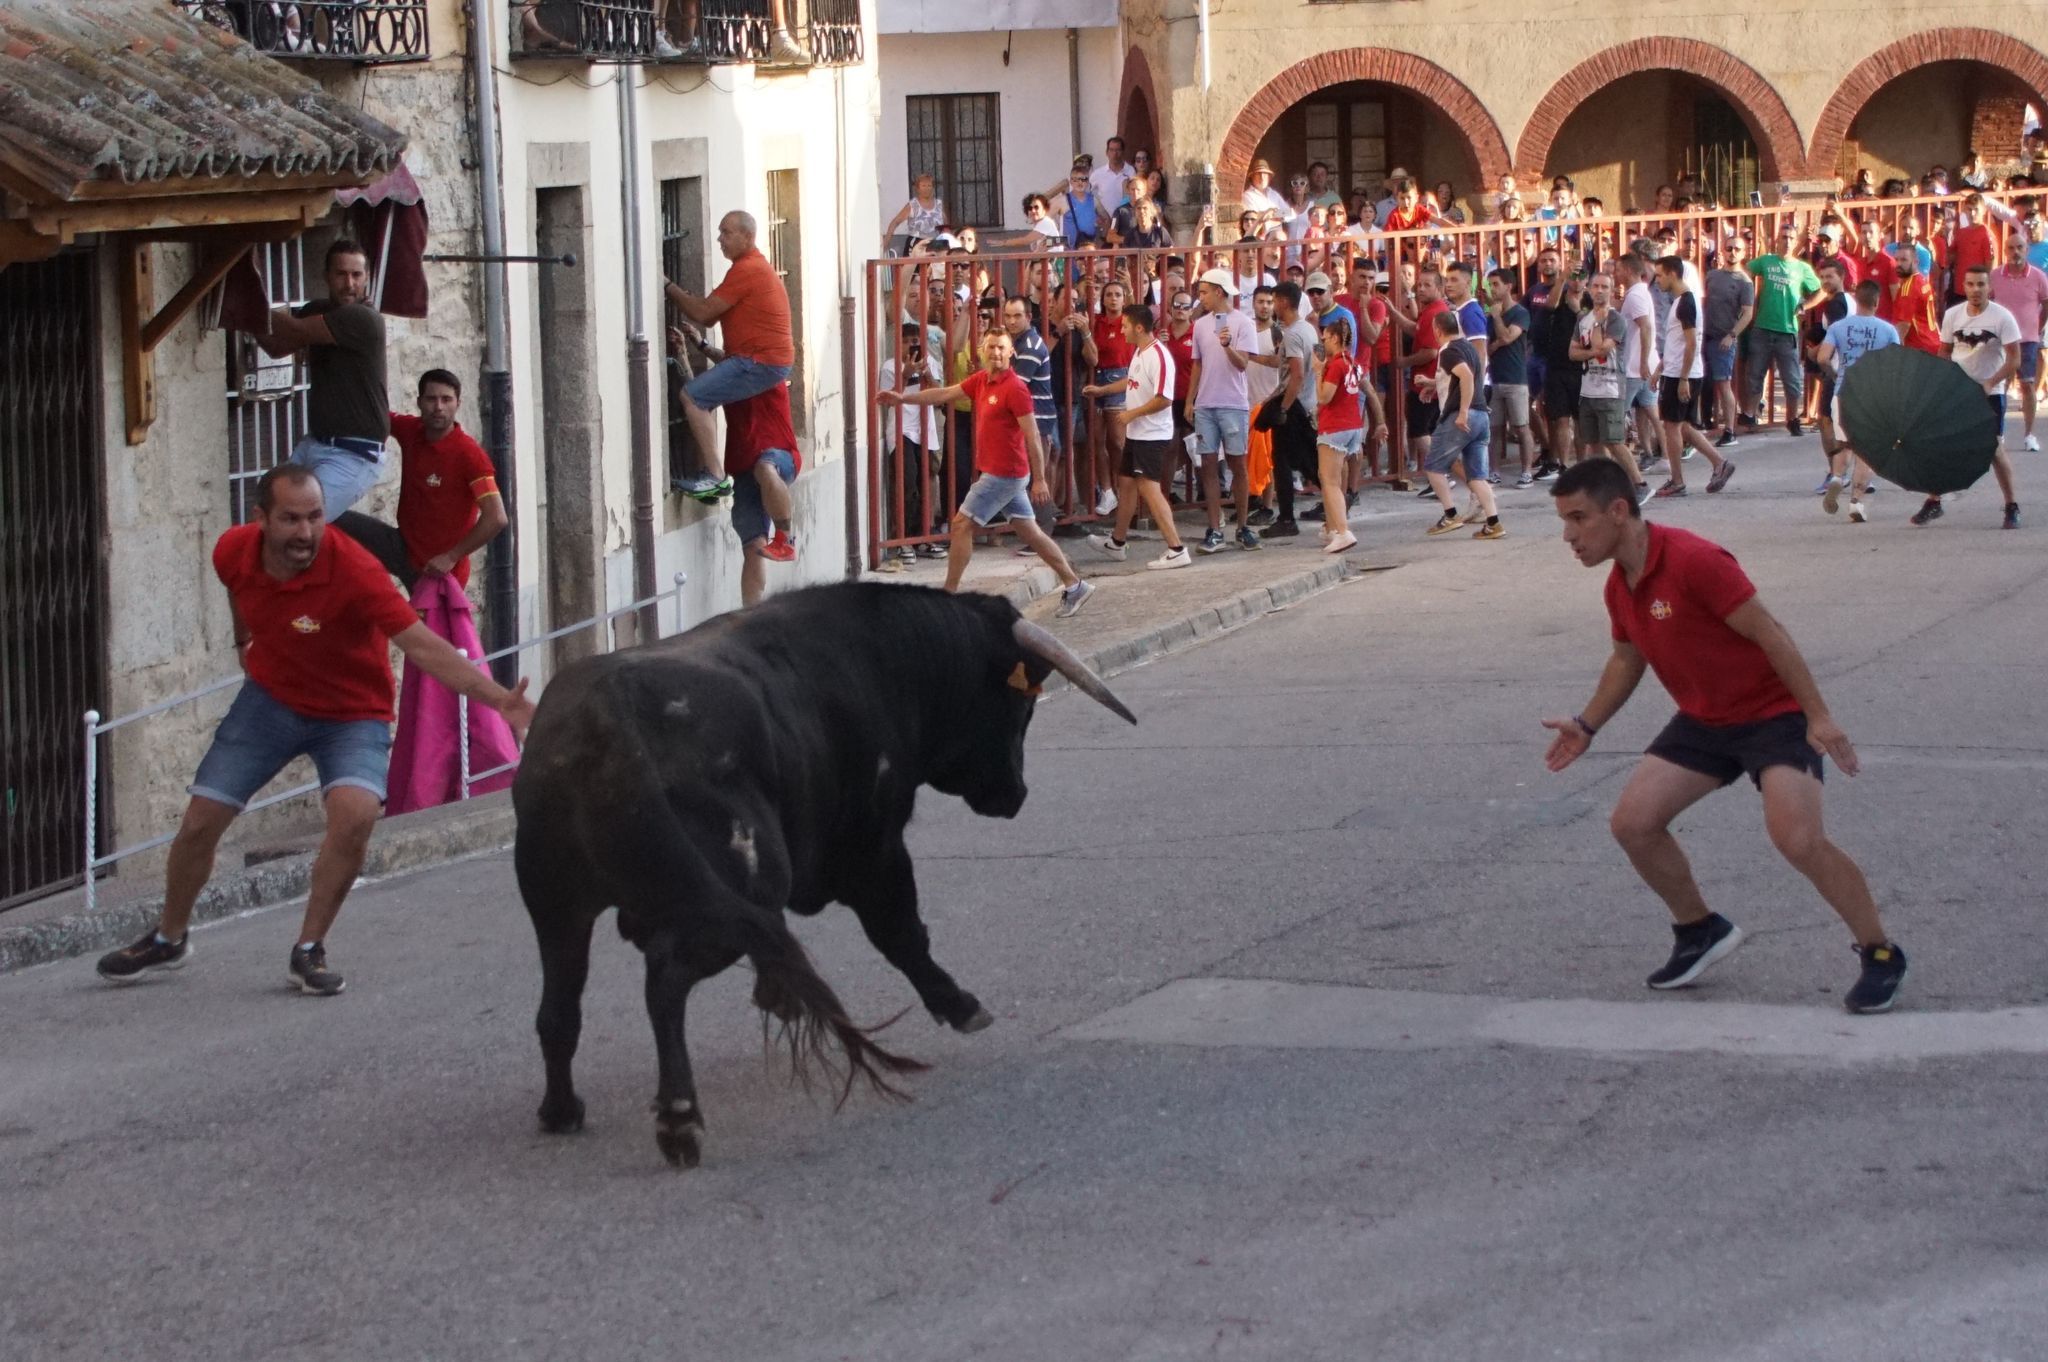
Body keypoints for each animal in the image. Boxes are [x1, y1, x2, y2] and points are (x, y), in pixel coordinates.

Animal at [503, 577, 1130, 1163]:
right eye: (1021, 706)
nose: (1015, 795)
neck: (887, 658)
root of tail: (609, 725)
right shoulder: (876, 851)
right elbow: (903, 934)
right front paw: (960, 1005)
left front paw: (778, 993)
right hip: (712, 899)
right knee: (664, 981)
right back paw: (679, 1117)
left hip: (556, 903)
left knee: (559, 1009)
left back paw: (561, 1109)